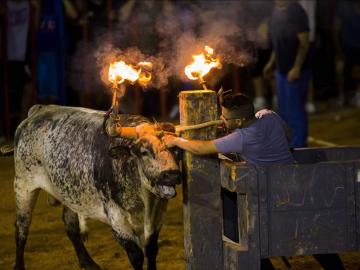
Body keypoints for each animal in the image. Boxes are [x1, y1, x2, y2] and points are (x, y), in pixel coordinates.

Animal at [13, 104, 181, 270]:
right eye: (144, 152)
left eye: (174, 149)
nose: (172, 174)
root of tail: (38, 110)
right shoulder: (117, 219)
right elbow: (136, 256)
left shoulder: (157, 217)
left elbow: (151, 250)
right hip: (23, 185)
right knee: (21, 227)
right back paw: (19, 265)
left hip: (70, 193)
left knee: (70, 226)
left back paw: (88, 263)